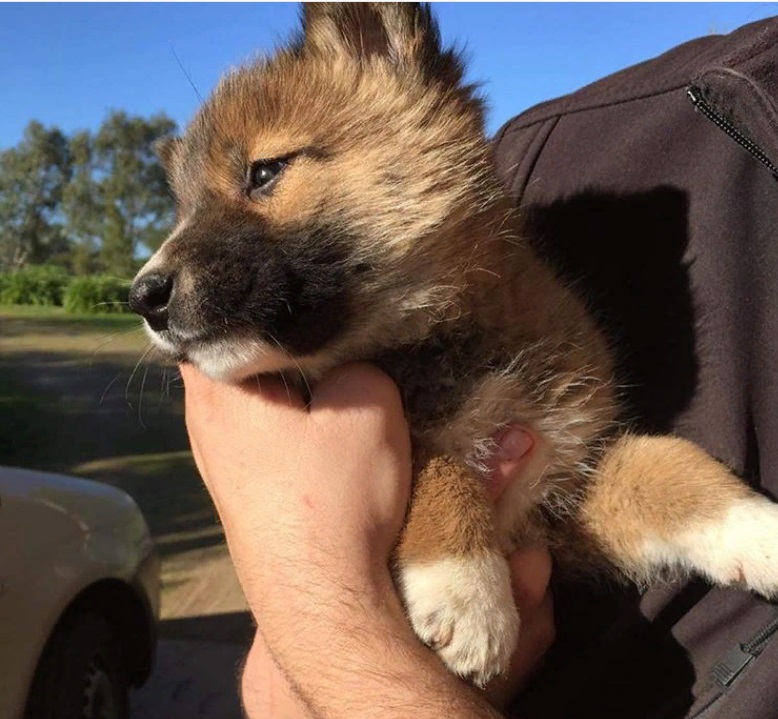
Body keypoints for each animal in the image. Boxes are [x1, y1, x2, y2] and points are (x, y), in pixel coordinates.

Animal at [130, 1, 776, 688]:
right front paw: (466, 590)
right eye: (181, 210)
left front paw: (755, 528)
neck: (441, 342)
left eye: (264, 172)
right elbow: (439, 465)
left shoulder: (563, 493)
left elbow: (667, 462)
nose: (143, 296)